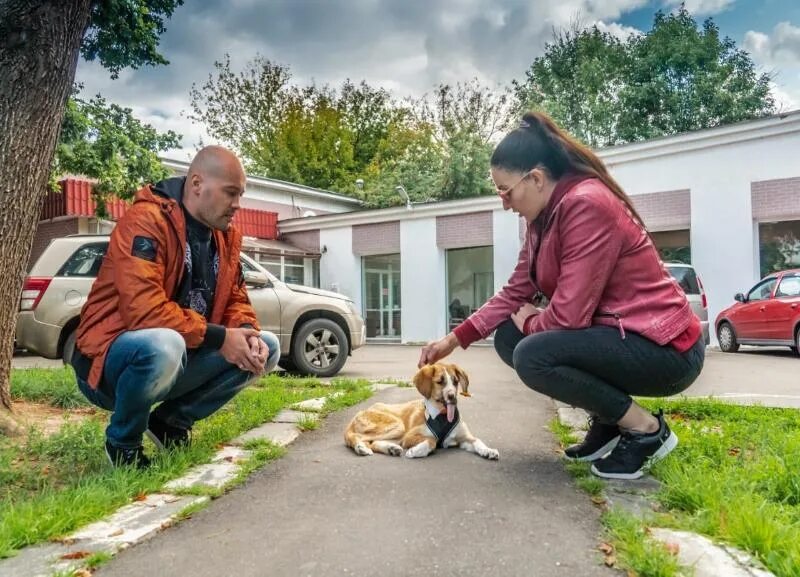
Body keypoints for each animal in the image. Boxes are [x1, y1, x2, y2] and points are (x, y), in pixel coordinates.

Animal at [346, 362, 500, 462]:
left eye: (456, 382)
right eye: (440, 382)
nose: (452, 398)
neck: (442, 416)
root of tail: (361, 411)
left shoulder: (465, 438)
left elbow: (478, 441)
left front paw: (489, 450)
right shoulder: (409, 437)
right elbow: (432, 440)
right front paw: (417, 451)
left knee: (374, 442)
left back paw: (391, 448)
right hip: (397, 426)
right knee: (356, 437)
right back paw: (361, 448)